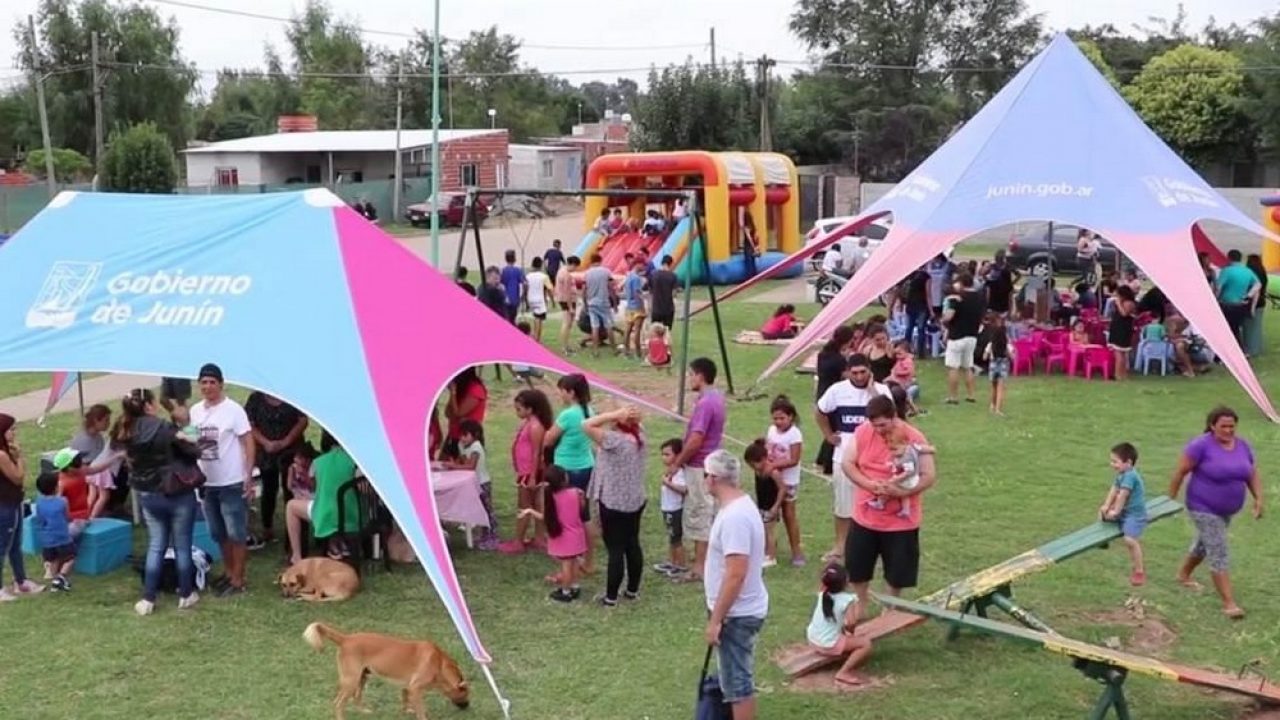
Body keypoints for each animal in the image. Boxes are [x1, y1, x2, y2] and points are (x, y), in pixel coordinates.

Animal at [303, 620, 471, 712]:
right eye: (466, 695)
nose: (468, 706)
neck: (439, 663)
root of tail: (346, 639)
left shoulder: (407, 686)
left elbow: (405, 700)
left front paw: (407, 711)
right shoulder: (415, 688)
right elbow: (421, 711)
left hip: (362, 678)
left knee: (356, 697)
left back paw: (363, 711)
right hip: (351, 680)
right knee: (338, 704)